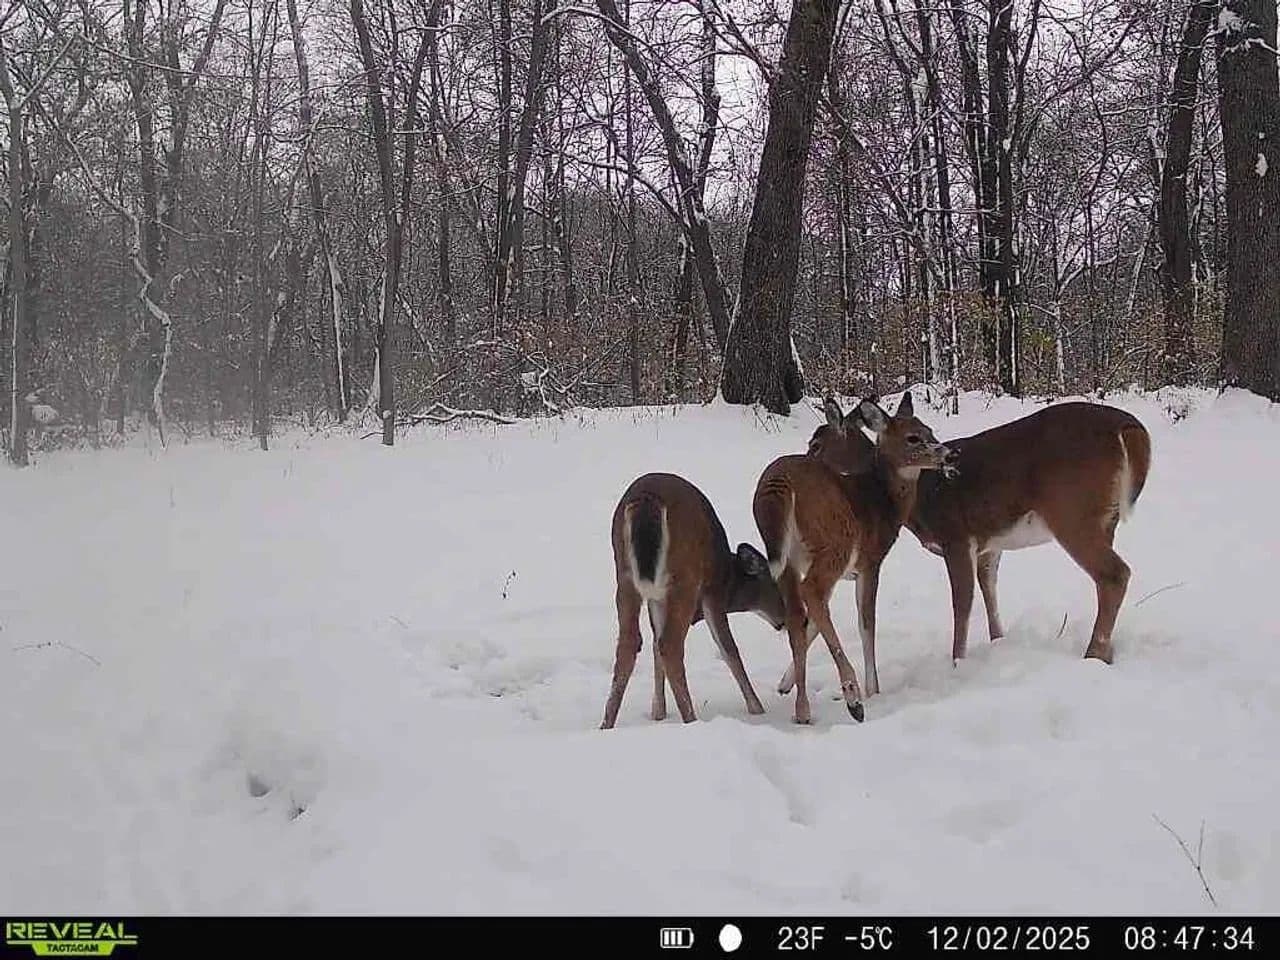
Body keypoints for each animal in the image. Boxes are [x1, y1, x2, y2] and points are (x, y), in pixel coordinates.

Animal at [600, 472, 787, 730]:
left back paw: (606, 724)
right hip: (684, 578)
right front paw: (757, 709)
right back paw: (691, 719)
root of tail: (646, 500)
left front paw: (658, 712)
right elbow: (728, 648)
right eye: (776, 584)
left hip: (625, 577)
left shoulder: (657, 598)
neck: (728, 575)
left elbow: (654, 645)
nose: (784, 619)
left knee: (631, 641)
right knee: (670, 644)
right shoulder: (712, 591)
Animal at [753, 395, 955, 724]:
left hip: (788, 557)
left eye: (929, 430)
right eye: (913, 437)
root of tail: (779, 482)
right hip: (835, 541)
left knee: (798, 613)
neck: (883, 500)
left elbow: (811, 626)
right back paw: (853, 697)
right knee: (812, 592)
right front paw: (874, 690)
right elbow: (866, 623)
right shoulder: (870, 561)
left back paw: (803, 710)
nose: (949, 454)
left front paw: (784, 683)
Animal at [808, 392, 1152, 666]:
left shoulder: (955, 536)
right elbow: (988, 588)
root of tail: (1128, 428)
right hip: (1106, 518)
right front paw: (997, 642)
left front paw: (957, 663)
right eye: (921, 434)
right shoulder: (989, 542)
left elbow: (962, 602)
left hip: (1072, 511)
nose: (806, 457)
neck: (924, 494)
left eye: (816, 444)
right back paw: (1106, 653)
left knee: (1114, 574)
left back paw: (1093, 654)